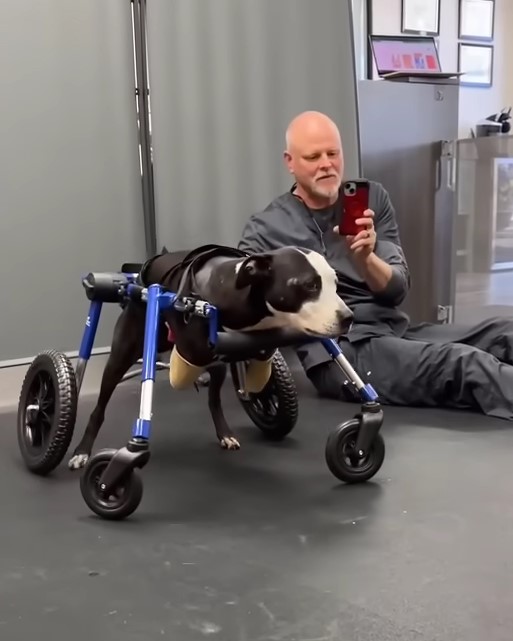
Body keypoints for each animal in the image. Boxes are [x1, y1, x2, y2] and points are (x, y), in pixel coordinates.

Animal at [68, 242, 352, 468]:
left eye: (336, 283)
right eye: (309, 285)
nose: (348, 317)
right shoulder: (189, 356)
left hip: (217, 369)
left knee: (214, 400)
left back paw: (224, 431)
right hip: (121, 356)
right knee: (99, 408)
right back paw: (82, 450)